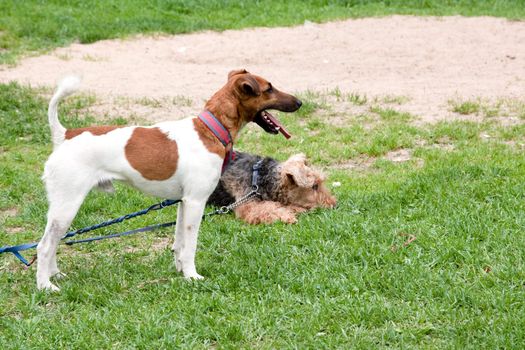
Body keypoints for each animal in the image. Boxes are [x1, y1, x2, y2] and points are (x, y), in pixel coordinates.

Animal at [37, 69, 302, 290]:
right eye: (269, 88)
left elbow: (179, 243)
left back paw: (55, 275)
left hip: (62, 209)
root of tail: (65, 136)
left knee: (53, 242)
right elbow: (191, 245)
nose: (300, 102)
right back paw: (46, 286)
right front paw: (192, 275)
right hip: (67, 206)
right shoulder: (196, 202)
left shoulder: (183, 203)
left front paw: (180, 270)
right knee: (44, 246)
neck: (211, 129)